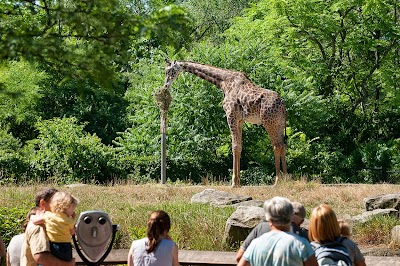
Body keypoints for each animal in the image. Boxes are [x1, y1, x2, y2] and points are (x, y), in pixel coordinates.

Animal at [162, 59, 288, 187]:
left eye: (169, 70)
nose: (166, 85)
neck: (224, 82)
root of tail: (283, 105)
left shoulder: (230, 115)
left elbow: (235, 146)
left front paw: (234, 183)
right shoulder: (240, 121)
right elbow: (239, 147)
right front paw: (238, 182)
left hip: (269, 122)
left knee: (277, 146)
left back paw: (277, 181)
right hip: (279, 124)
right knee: (283, 145)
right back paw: (286, 178)